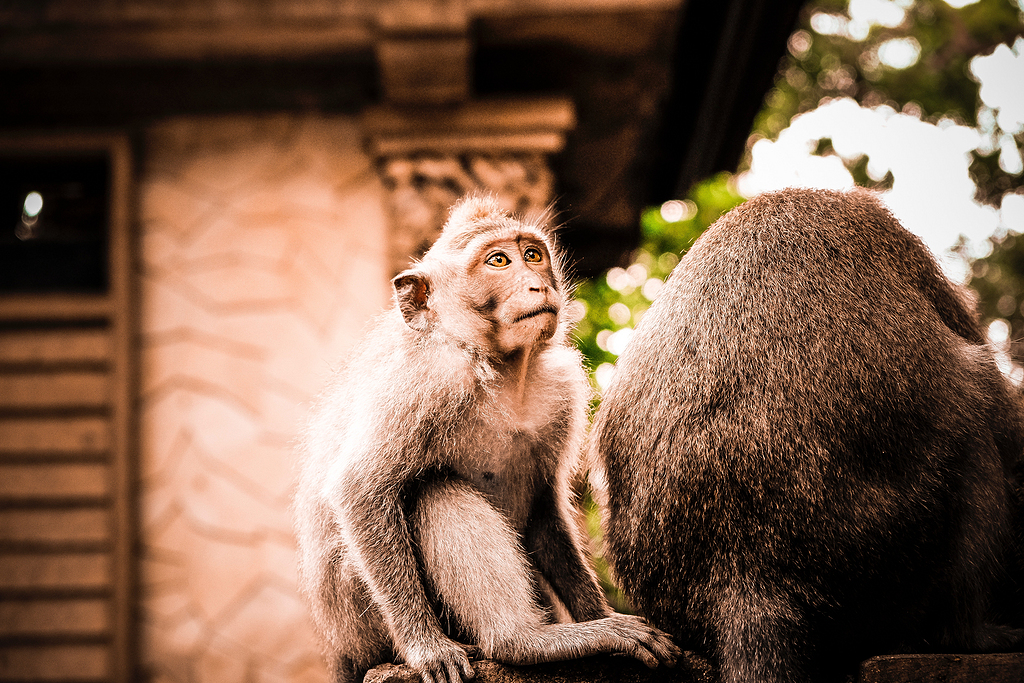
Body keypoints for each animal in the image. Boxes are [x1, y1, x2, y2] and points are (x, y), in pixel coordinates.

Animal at [294, 192, 679, 683]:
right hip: (364, 623)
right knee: (435, 492)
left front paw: (601, 616)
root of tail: (342, 652)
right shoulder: (430, 378)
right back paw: (522, 641)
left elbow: (544, 510)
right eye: (498, 261)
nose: (537, 286)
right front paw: (426, 648)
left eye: (532, 255)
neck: (501, 369)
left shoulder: (560, 390)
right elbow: (359, 489)